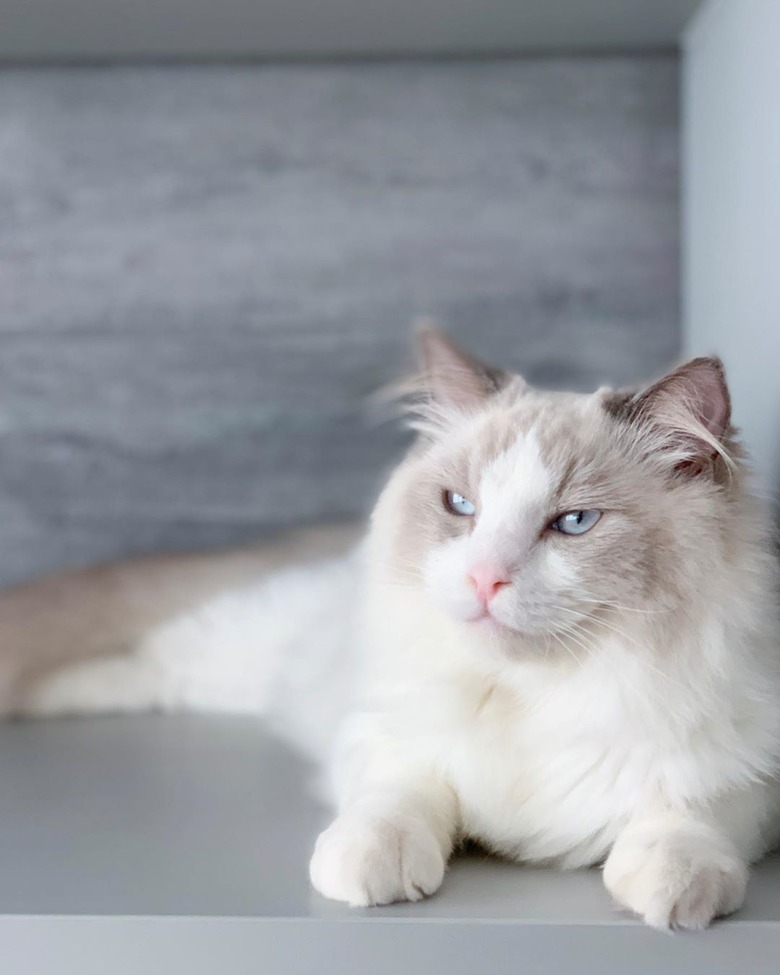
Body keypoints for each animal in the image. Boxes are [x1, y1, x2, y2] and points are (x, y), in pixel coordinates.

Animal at [3, 328, 776, 932]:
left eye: (574, 522)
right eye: (460, 506)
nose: (484, 579)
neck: (534, 694)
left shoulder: (747, 770)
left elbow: (692, 810)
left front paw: (672, 889)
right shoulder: (386, 732)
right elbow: (396, 798)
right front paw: (369, 870)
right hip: (241, 649)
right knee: (150, 655)